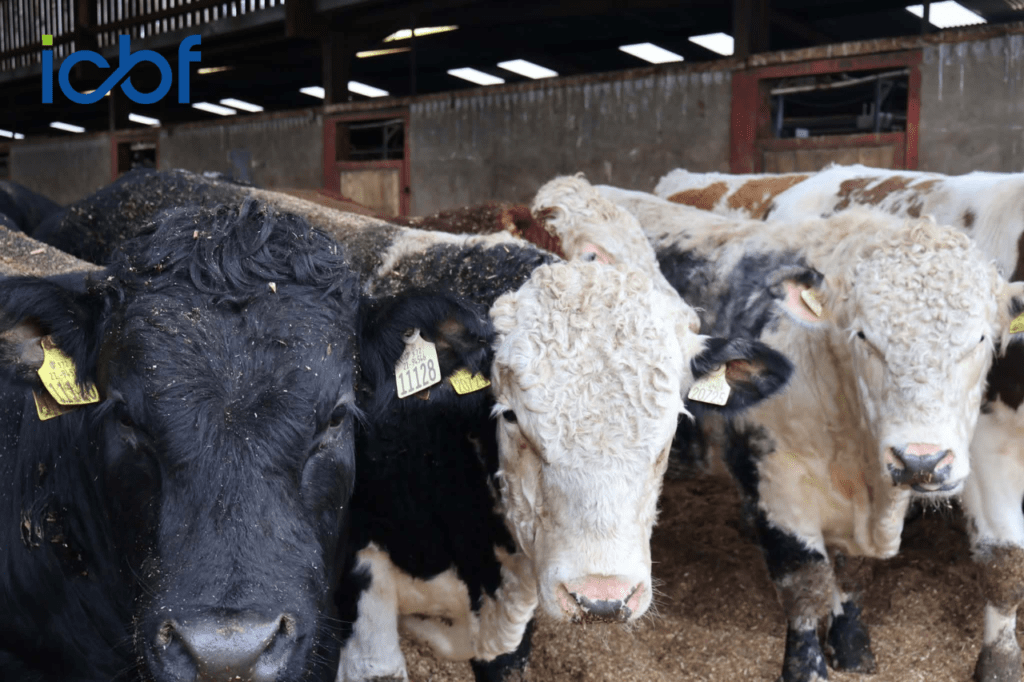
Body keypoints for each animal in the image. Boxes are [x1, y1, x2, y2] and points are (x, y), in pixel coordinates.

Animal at [597, 185, 1024, 682]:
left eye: (980, 339)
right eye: (863, 335)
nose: (922, 460)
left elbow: (851, 574)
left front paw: (852, 646)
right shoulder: (774, 486)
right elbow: (804, 584)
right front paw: (806, 667)